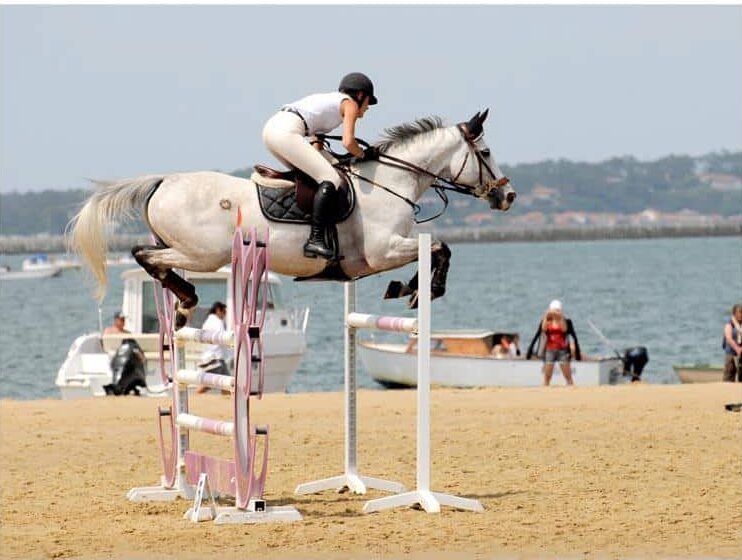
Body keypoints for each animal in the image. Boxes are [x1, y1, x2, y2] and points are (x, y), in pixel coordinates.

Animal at [74, 109, 516, 316]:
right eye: (486, 152)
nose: (507, 195)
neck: (391, 181)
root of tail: (164, 180)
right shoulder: (382, 251)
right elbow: (441, 247)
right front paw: (423, 291)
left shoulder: (385, 253)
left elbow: (436, 251)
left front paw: (406, 288)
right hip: (202, 254)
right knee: (144, 255)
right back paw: (187, 299)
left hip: (190, 251)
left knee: (147, 257)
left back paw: (183, 303)